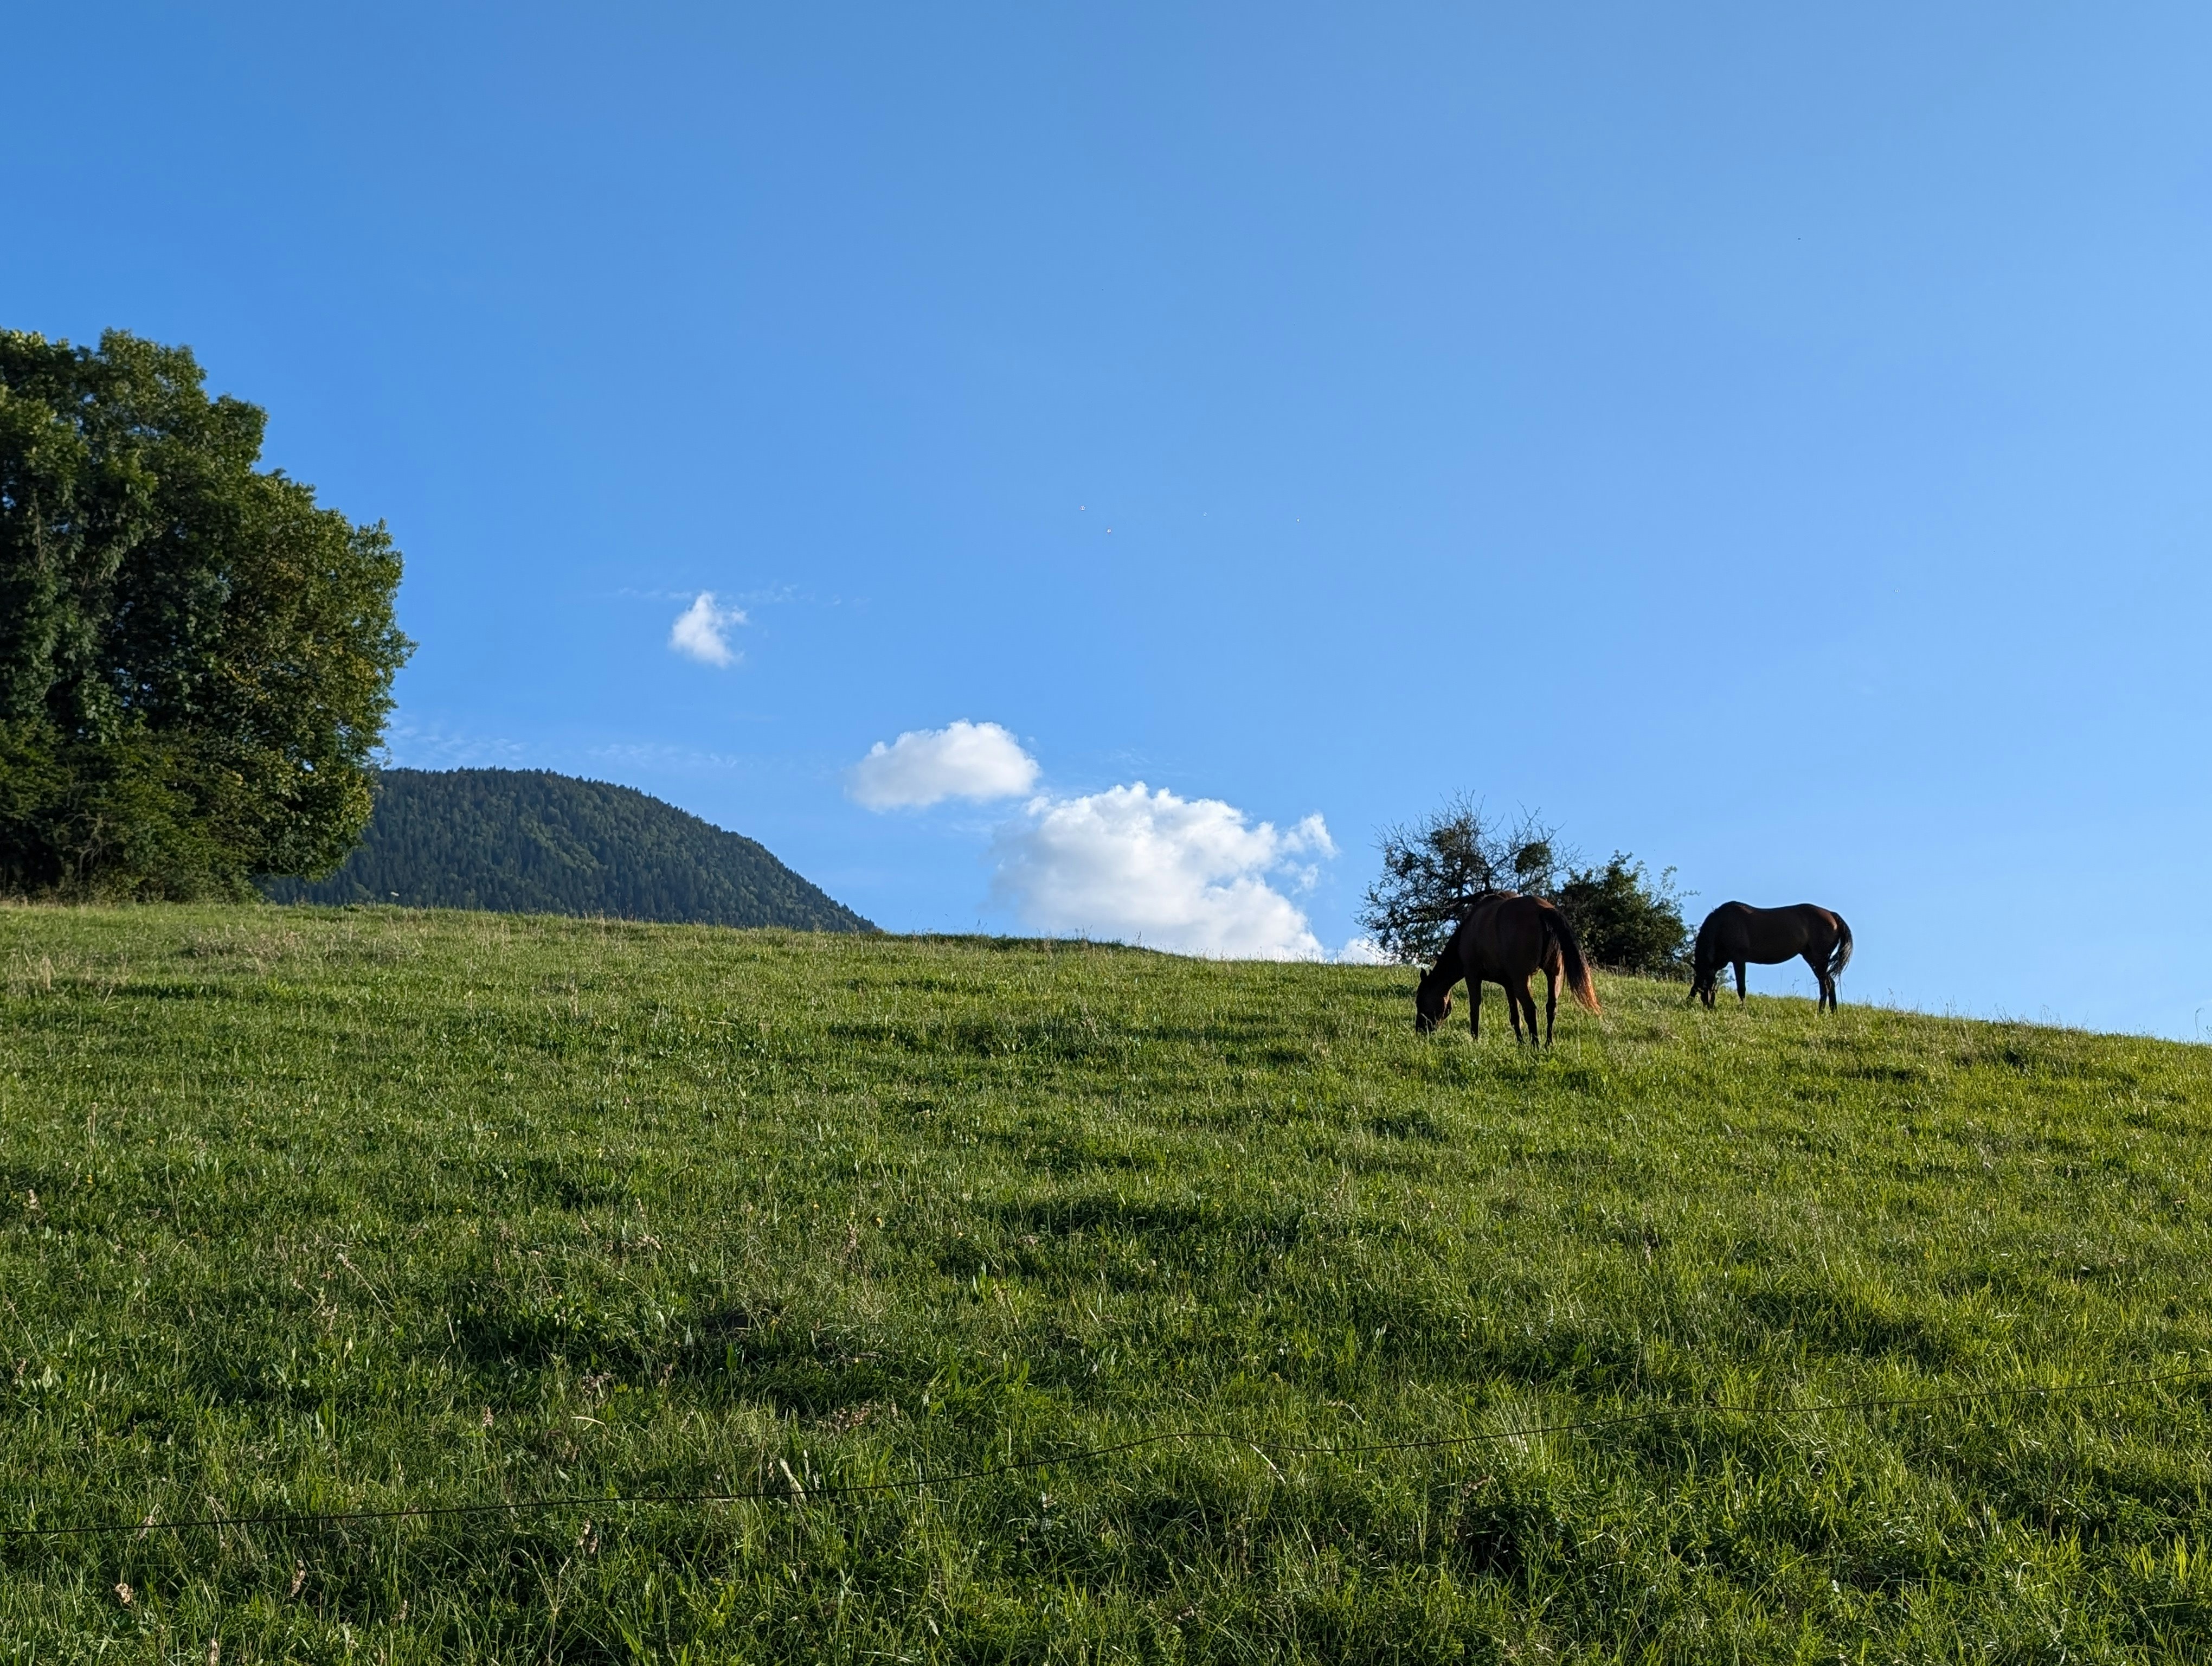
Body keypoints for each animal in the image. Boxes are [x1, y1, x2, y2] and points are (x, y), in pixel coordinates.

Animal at [1415, 893, 1600, 1044]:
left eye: (1420, 1001)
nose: (1420, 1031)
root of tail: (1543, 911)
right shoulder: (1508, 984)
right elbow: (1515, 1016)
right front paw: (1520, 1043)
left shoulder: (1472, 975)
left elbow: (1475, 1008)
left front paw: (1475, 1038)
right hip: (1554, 975)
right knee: (1551, 1008)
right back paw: (1548, 1044)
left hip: (1521, 980)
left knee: (1531, 1010)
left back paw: (1536, 1045)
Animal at [1691, 902, 1853, 1012]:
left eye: (1706, 984)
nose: (1707, 1005)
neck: (1723, 925)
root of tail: (1833, 915)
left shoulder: (1739, 960)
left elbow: (1741, 988)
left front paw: (1743, 1009)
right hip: (1813, 959)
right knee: (1829, 983)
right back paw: (1832, 1012)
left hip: (1819, 959)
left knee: (1826, 984)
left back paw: (1821, 1012)